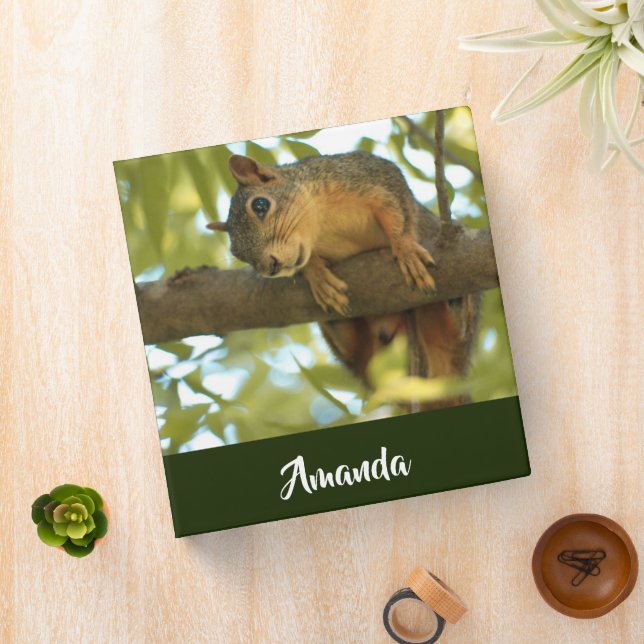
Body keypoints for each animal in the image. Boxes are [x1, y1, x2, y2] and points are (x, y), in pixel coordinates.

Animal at [208, 151, 480, 408]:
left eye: (260, 205)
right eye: (238, 254)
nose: (270, 267)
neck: (321, 225)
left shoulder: (371, 175)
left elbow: (398, 212)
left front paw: (405, 249)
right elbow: (307, 262)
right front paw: (316, 274)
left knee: (455, 331)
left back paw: (455, 304)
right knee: (357, 348)